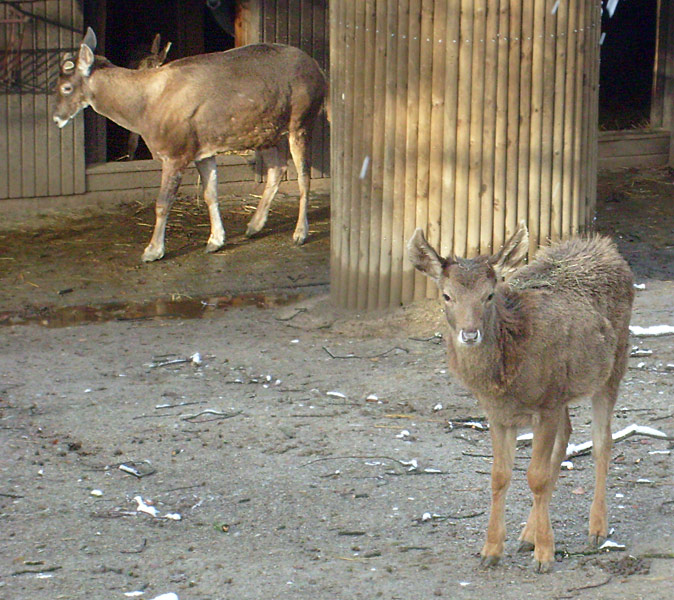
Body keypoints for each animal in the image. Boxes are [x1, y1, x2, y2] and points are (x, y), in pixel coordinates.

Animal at [52, 28, 326, 262]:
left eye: (66, 87)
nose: (56, 117)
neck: (144, 108)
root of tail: (318, 70)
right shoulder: (202, 150)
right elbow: (210, 193)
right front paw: (215, 240)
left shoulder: (175, 151)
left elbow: (162, 203)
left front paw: (153, 250)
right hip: (266, 131)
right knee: (277, 169)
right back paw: (254, 226)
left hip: (302, 119)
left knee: (303, 177)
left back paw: (299, 233)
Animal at [406, 225, 632, 572]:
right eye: (446, 295)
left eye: (489, 295)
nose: (469, 334)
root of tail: (606, 246)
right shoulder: (499, 414)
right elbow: (499, 476)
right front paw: (491, 550)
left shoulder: (546, 405)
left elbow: (536, 477)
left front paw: (545, 556)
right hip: (564, 390)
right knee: (567, 435)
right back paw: (527, 535)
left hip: (613, 365)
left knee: (602, 442)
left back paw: (596, 530)